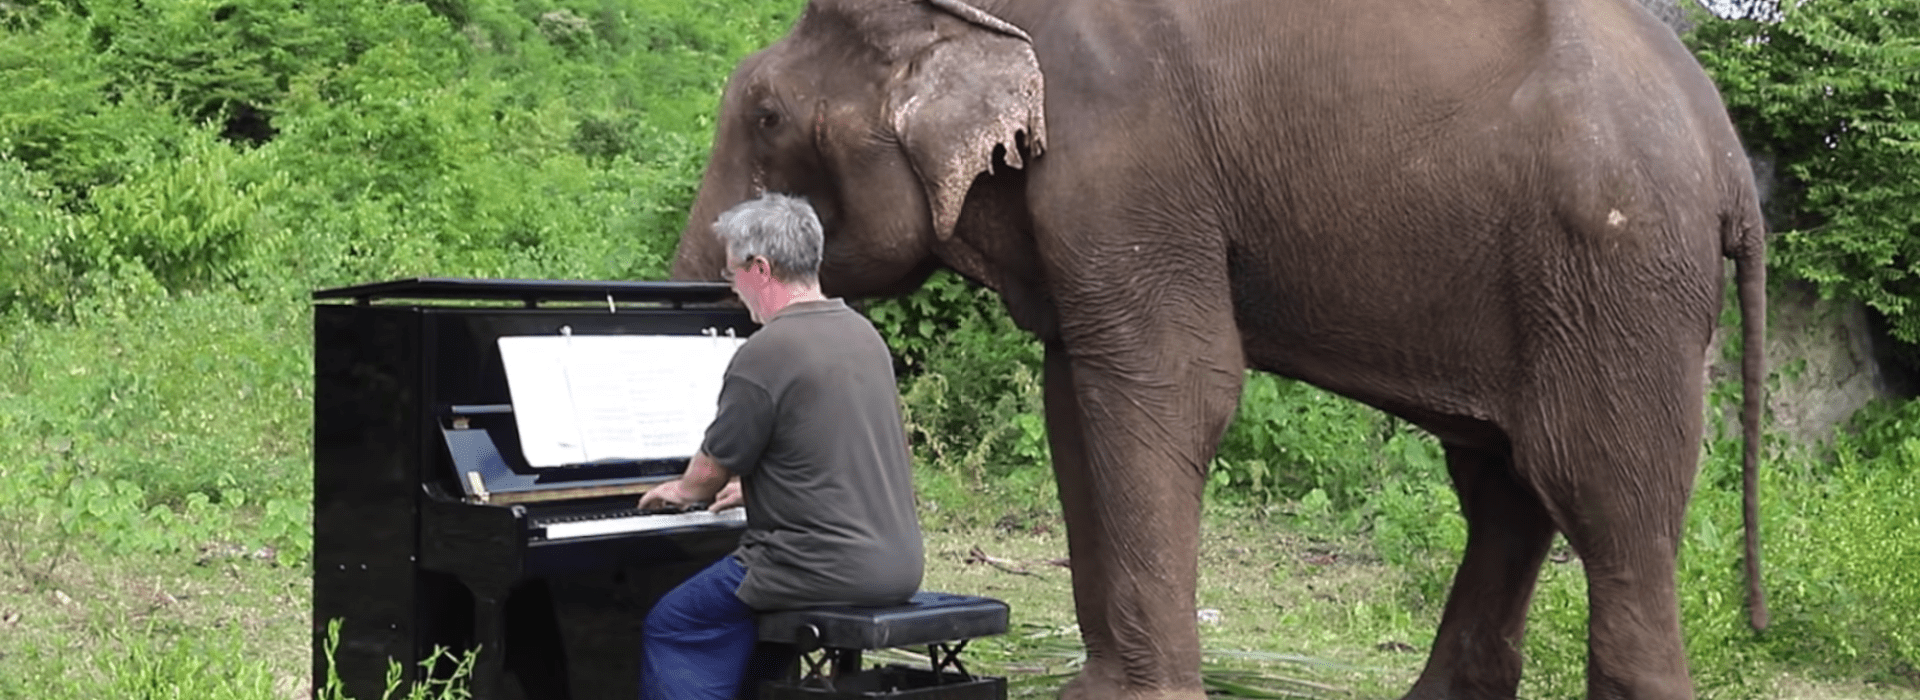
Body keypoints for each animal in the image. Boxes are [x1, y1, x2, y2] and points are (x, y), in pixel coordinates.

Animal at [668, 0, 1768, 698]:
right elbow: (1077, 400)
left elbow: (1172, 381)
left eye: (766, 115)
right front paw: (1099, 691)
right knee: (1502, 482)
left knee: (1594, 483)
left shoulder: (1127, 157)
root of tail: (1730, 158)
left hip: (1615, 267)